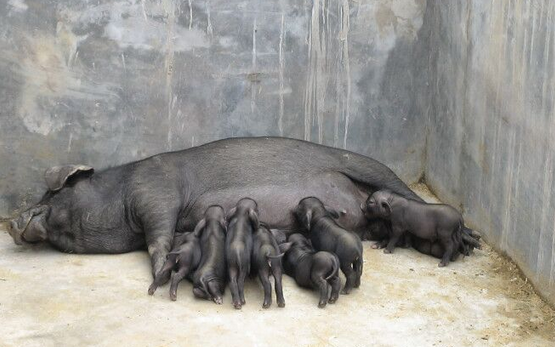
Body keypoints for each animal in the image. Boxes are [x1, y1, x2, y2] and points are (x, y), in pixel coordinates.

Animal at [6, 136, 480, 282]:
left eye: (51, 195)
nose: (11, 221)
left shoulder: (155, 192)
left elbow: (158, 234)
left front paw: (161, 268)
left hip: (370, 167)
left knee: (407, 194)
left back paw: (471, 243)